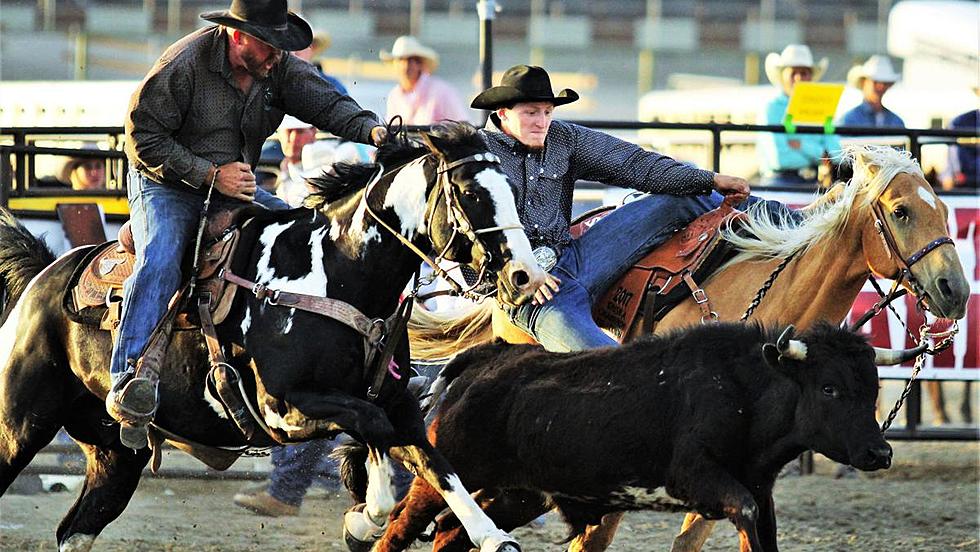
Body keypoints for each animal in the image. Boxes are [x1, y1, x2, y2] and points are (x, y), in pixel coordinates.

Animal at [0, 123, 548, 552]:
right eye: (472, 194)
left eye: (511, 189)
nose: (524, 276)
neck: (337, 272)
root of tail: (44, 277)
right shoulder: (285, 408)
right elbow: (373, 432)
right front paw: (365, 518)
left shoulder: (396, 402)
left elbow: (435, 463)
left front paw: (491, 535)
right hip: (19, 426)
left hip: (116, 454)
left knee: (75, 529)